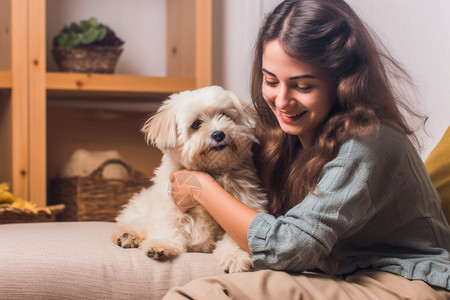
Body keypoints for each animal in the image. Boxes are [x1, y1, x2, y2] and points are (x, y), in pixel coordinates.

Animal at [112, 85, 268, 274]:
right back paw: (127, 235)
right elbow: (168, 228)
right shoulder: (169, 206)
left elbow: (235, 236)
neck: (211, 170)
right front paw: (161, 245)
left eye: (225, 115)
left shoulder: (245, 203)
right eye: (196, 124)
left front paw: (234, 256)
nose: (219, 134)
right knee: (136, 222)